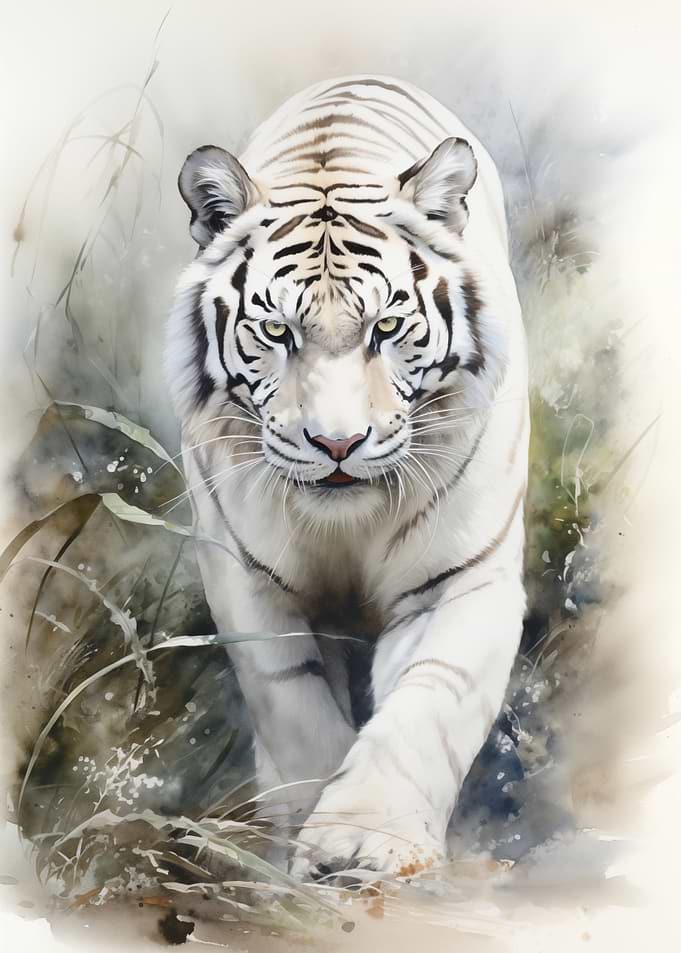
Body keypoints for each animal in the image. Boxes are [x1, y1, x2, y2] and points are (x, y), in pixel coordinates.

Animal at [165, 74, 529, 880]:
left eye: (386, 328)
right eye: (276, 332)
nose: (337, 443)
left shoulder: (462, 576)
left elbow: (428, 703)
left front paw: (364, 844)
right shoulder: (247, 578)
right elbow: (294, 708)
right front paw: (301, 849)